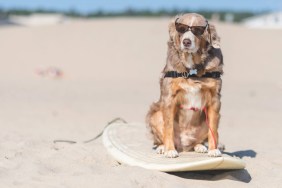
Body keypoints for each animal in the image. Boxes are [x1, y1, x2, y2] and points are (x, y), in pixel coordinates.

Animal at [147, 12, 224, 158]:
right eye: (181, 28)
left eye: (198, 30)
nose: (186, 41)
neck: (191, 69)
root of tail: (184, 145)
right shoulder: (169, 98)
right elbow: (168, 128)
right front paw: (169, 150)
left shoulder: (215, 99)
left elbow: (213, 129)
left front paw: (213, 149)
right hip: (156, 115)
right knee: (160, 136)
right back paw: (162, 147)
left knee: (198, 140)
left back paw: (200, 146)